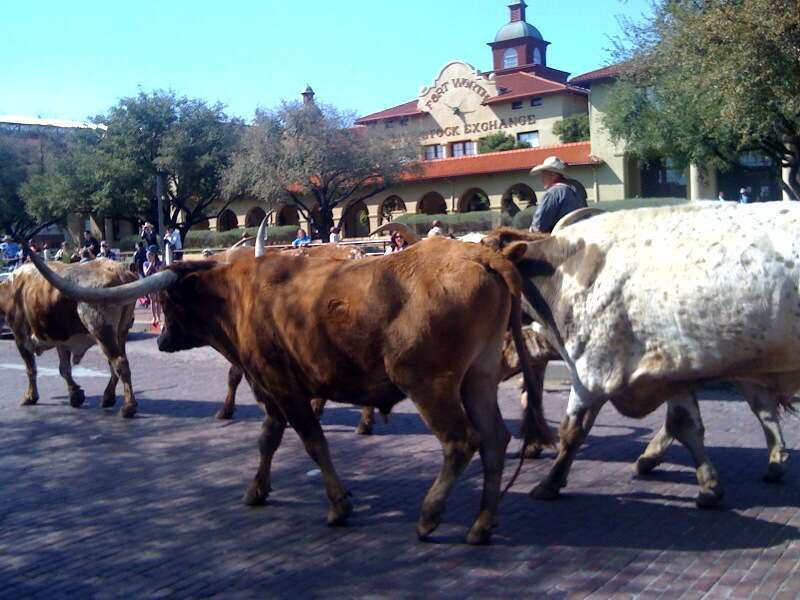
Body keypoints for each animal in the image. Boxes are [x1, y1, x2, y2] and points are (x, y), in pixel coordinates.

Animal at [0, 259, 138, 417]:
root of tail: (119, 270)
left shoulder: (21, 338)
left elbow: (31, 369)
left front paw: (30, 396)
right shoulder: (62, 341)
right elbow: (64, 368)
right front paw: (75, 394)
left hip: (102, 331)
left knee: (119, 363)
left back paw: (128, 406)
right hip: (121, 331)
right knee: (115, 364)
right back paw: (108, 397)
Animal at [29, 237, 551, 545]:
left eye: (169, 301)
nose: (161, 339)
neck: (238, 297)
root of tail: (479, 254)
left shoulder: (283, 384)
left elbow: (313, 442)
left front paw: (338, 505)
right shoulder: (270, 387)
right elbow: (268, 439)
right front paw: (257, 489)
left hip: (428, 381)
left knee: (461, 442)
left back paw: (430, 516)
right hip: (478, 376)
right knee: (495, 440)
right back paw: (481, 524)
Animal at [486, 202, 800, 508]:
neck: (564, 273)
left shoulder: (592, 371)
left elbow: (572, 430)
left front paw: (550, 483)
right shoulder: (673, 373)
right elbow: (686, 426)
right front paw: (708, 486)